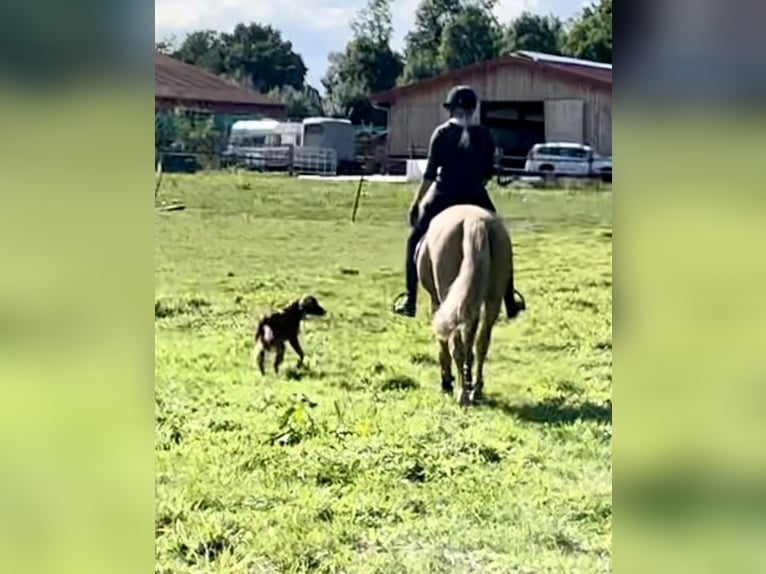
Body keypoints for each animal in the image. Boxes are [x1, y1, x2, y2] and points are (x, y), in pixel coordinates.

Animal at [416, 205, 520, 408]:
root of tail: (474, 221)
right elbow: (471, 343)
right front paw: (467, 379)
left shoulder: (436, 302)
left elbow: (444, 345)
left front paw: (446, 383)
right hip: (491, 298)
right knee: (482, 342)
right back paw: (475, 389)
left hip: (448, 298)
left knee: (456, 346)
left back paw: (462, 394)